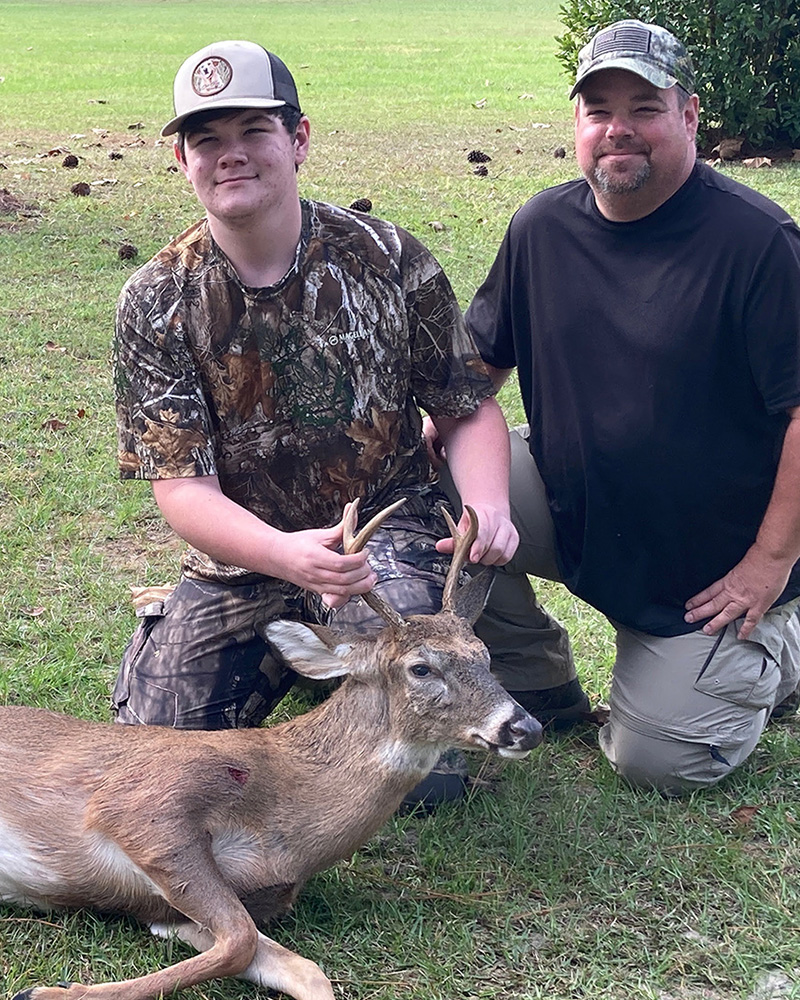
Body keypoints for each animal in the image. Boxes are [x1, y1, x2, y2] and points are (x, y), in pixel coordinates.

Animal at [1, 501, 543, 1000]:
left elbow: (302, 969)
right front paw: (47, 993)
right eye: (421, 668)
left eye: (485, 657)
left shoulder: (166, 909)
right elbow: (239, 940)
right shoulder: (145, 805)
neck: (285, 826)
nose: (525, 727)